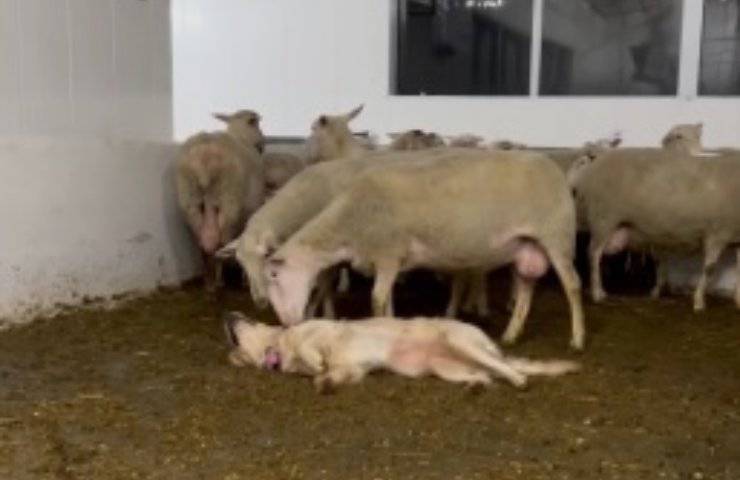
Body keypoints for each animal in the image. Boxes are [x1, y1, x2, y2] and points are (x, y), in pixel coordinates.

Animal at [176, 110, 265, 290]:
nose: (263, 144)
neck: (241, 136)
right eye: (256, 124)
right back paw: (218, 281)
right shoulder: (251, 210)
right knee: (220, 245)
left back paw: (208, 283)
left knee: (202, 245)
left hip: (190, 203)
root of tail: (204, 157)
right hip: (229, 204)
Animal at [264, 149, 586, 350]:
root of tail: (555, 169)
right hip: (527, 247)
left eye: (274, 277)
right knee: (527, 289)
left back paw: (578, 339)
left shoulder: (388, 254)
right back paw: (511, 335)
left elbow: (377, 300)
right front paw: (392, 330)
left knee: (572, 286)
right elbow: (387, 302)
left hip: (557, 237)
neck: (350, 224)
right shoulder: (390, 262)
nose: (286, 324)